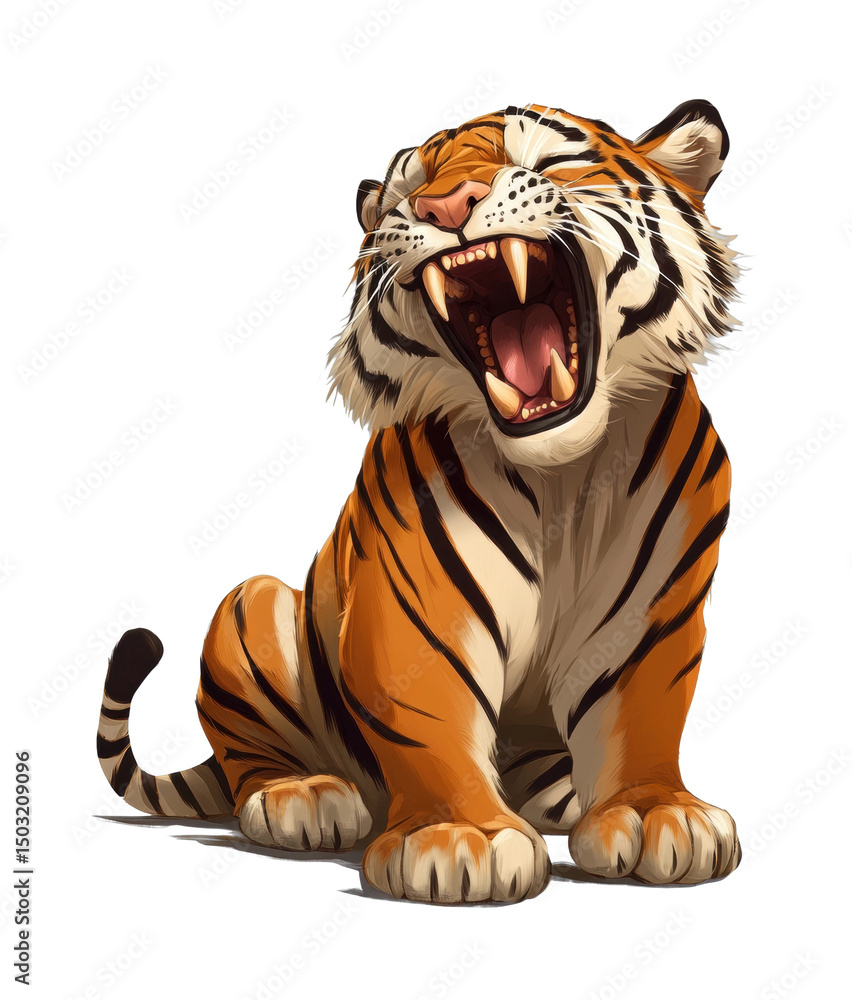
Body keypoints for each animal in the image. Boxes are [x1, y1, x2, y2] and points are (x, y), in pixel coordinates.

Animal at [97, 100, 741, 904]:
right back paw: (302, 797)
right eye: (407, 192)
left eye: (552, 161)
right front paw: (461, 837)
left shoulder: (652, 609)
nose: (445, 207)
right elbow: (427, 713)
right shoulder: (414, 605)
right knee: (252, 754)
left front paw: (657, 815)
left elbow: (643, 711)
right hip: (253, 602)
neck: (562, 476)